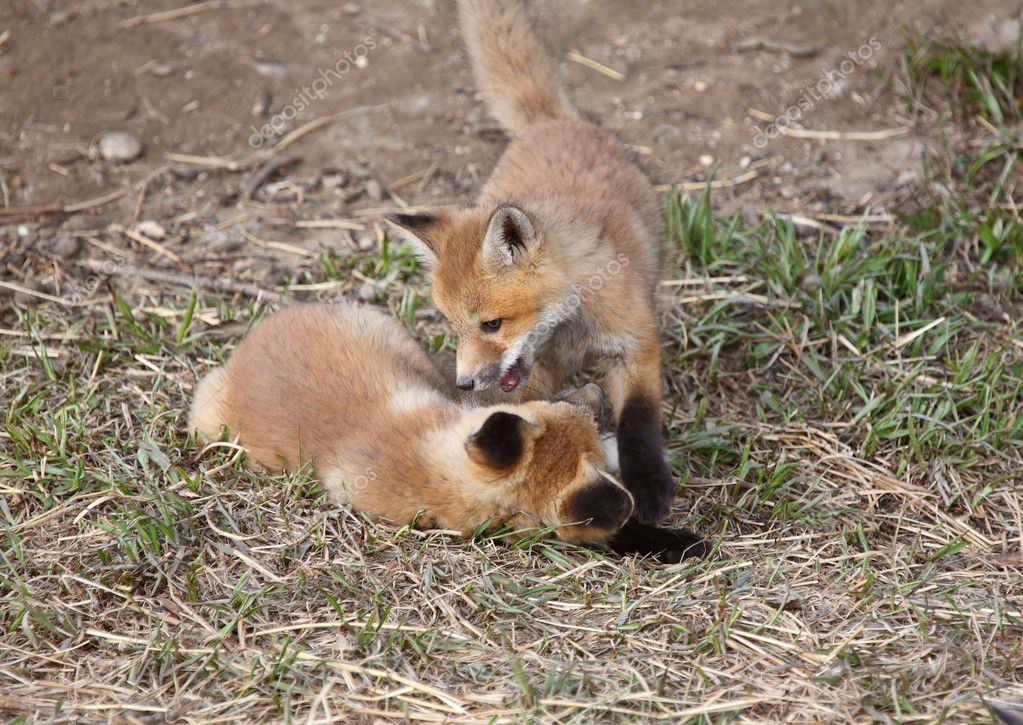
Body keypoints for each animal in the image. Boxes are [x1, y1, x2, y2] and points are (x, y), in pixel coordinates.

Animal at [188, 303, 708, 562]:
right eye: (558, 408)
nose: (597, 393)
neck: (430, 465)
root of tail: (252, 339)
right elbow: (614, 530)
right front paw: (675, 541)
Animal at [386, 0, 691, 528]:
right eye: (453, 327)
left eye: (492, 324)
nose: (464, 382)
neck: (571, 329)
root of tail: (548, 122)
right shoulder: (538, 372)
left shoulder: (633, 346)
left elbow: (639, 422)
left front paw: (650, 486)